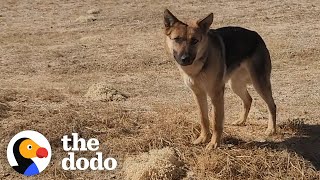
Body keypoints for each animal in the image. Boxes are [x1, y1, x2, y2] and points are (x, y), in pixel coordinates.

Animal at [164, 9, 276, 150]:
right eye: (177, 39)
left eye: (194, 40)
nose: (185, 59)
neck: (201, 63)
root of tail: (256, 35)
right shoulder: (198, 94)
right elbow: (203, 118)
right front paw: (203, 138)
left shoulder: (216, 94)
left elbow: (216, 121)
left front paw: (214, 144)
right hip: (235, 85)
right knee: (248, 100)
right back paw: (241, 121)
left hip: (259, 83)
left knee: (271, 105)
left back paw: (271, 129)